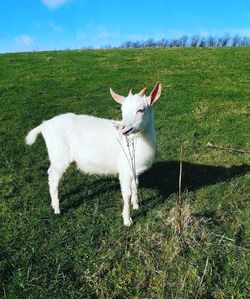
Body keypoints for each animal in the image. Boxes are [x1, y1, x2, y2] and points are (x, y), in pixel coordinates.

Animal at [25, 83, 162, 226]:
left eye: (141, 110)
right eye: (122, 109)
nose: (122, 128)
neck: (135, 142)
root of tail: (44, 125)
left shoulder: (133, 170)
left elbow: (135, 185)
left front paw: (136, 205)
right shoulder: (124, 170)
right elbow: (126, 194)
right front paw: (127, 220)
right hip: (59, 156)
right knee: (52, 177)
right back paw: (56, 208)